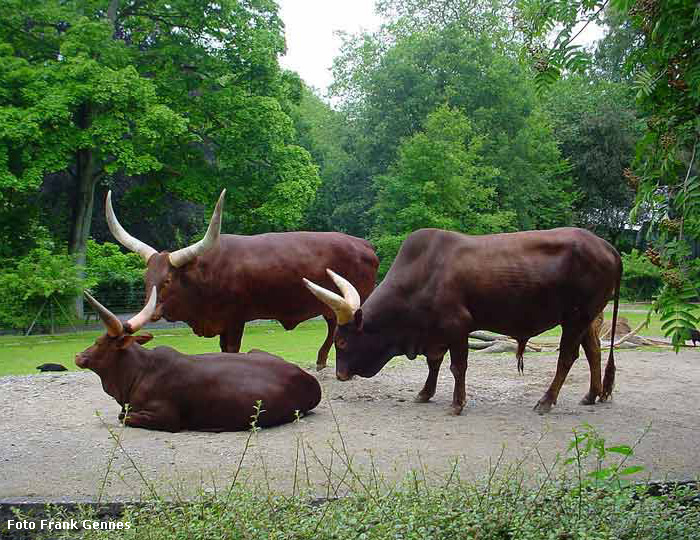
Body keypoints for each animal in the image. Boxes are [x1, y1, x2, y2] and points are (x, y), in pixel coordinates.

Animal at [75, 286, 322, 430]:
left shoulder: (167, 418)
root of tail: (309, 380)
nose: (78, 356)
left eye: (98, 342)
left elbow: (123, 418)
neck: (139, 372)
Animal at [105, 188, 378, 370]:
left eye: (168, 280)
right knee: (332, 325)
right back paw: (321, 361)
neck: (204, 275)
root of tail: (364, 245)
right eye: (145, 277)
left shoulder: (235, 319)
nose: (149, 312)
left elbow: (232, 349)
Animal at [304, 227, 620, 414]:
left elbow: (457, 367)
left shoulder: (457, 327)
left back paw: (546, 401)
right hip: (586, 318)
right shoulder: (434, 333)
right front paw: (425, 393)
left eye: (342, 341)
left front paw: (457, 403)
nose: (340, 375)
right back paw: (591, 395)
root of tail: (608, 247)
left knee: (567, 357)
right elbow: (433, 364)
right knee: (593, 352)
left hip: (576, 318)